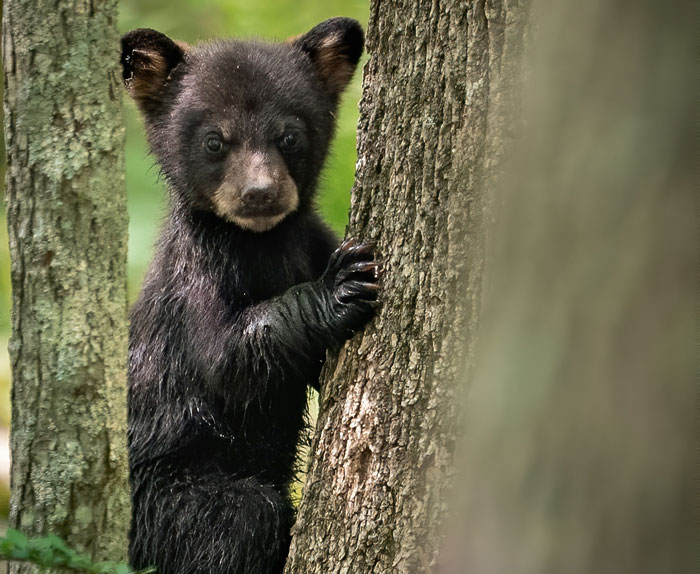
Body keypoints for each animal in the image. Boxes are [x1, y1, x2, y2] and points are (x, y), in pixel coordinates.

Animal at [121, 18, 379, 574]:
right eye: (215, 141)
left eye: (289, 134)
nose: (260, 193)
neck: (260, 243)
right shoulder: (195, 276)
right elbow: (225, 359)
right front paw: (340, 287)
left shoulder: (308, 240)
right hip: (159, 505)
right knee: (243, 518)